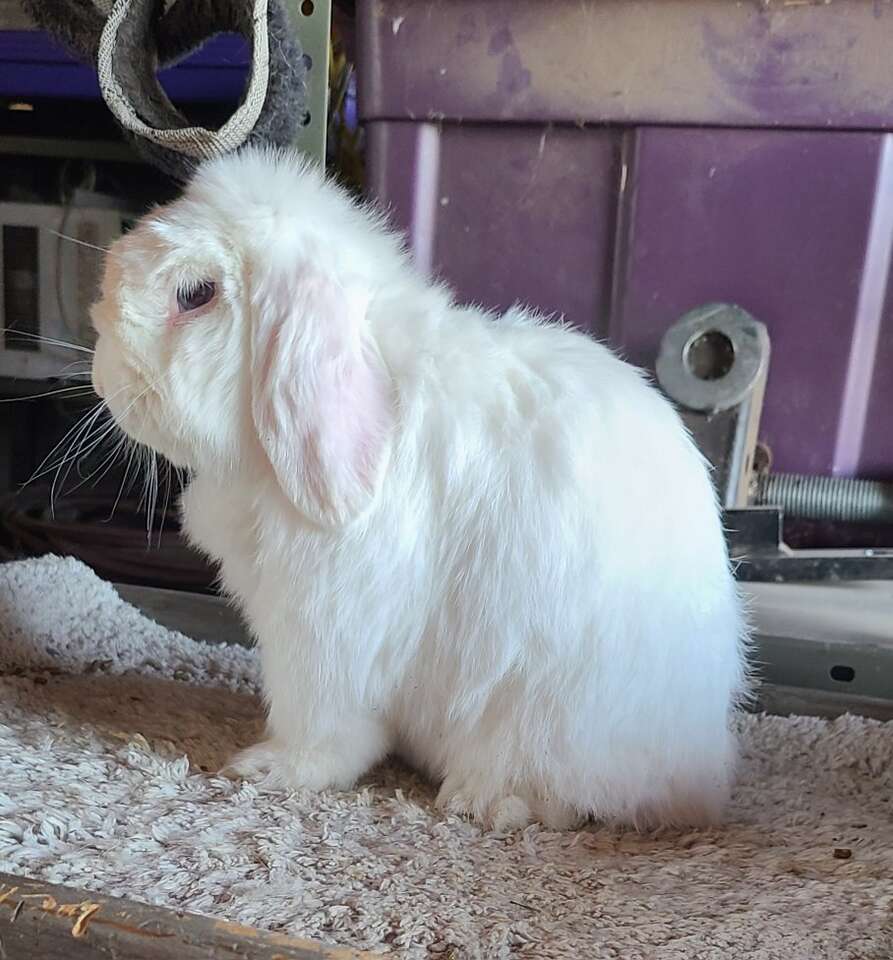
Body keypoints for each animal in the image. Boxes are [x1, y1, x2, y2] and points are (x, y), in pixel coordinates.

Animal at [89, 146, 744, 828]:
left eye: (196, 295)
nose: (104, 372)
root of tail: (695, 779)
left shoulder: (322, 626)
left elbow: (321, 722)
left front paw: (271, 770)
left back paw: (485, 799)